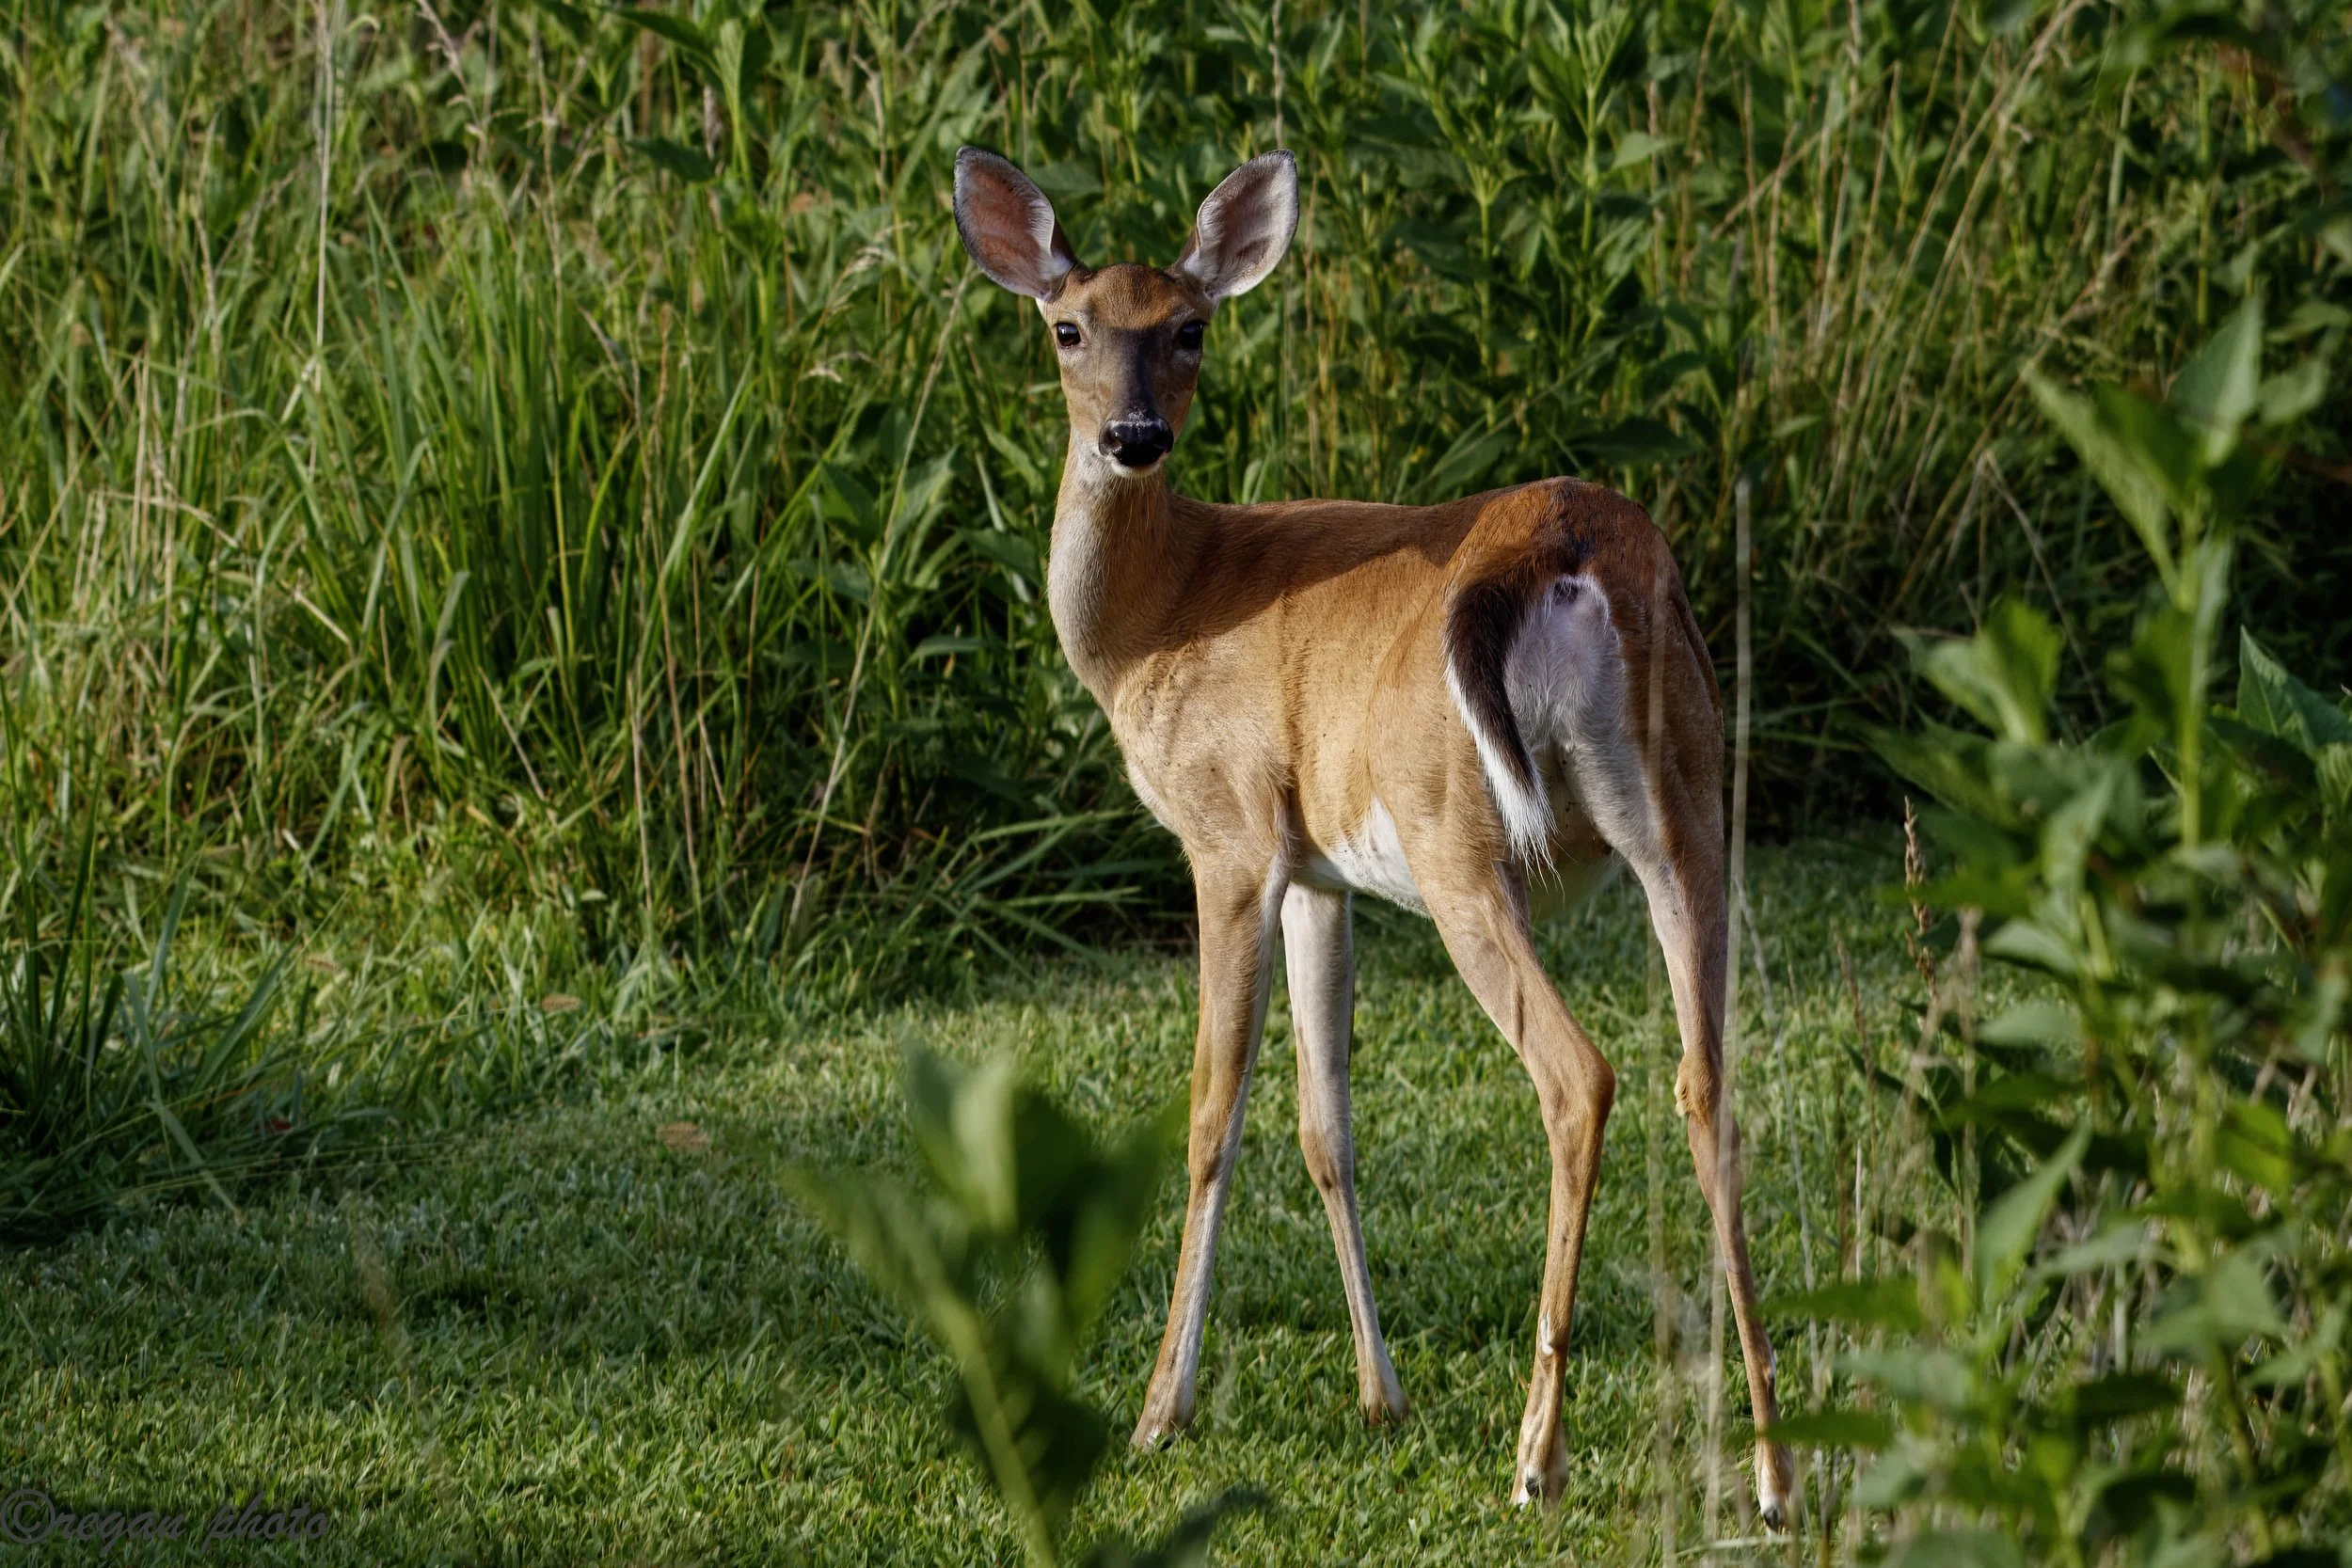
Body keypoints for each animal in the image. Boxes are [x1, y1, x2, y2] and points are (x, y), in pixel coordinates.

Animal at [949, 144, 1796, 1527]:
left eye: (1189, 326)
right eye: (1069, 327)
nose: (1134, 436)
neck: (1161, 613)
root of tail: (1568, 551)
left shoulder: (1231, 834)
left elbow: (1211, 1115)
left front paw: (1159, 1410)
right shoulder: (1319, 871)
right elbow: (1324, 1123)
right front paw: (1379, 1394)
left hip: (1460, 836)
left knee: (1581, 1075)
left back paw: (1536, 1454)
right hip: (1689, 811)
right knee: (1706, 1083)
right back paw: (1773, 1472)